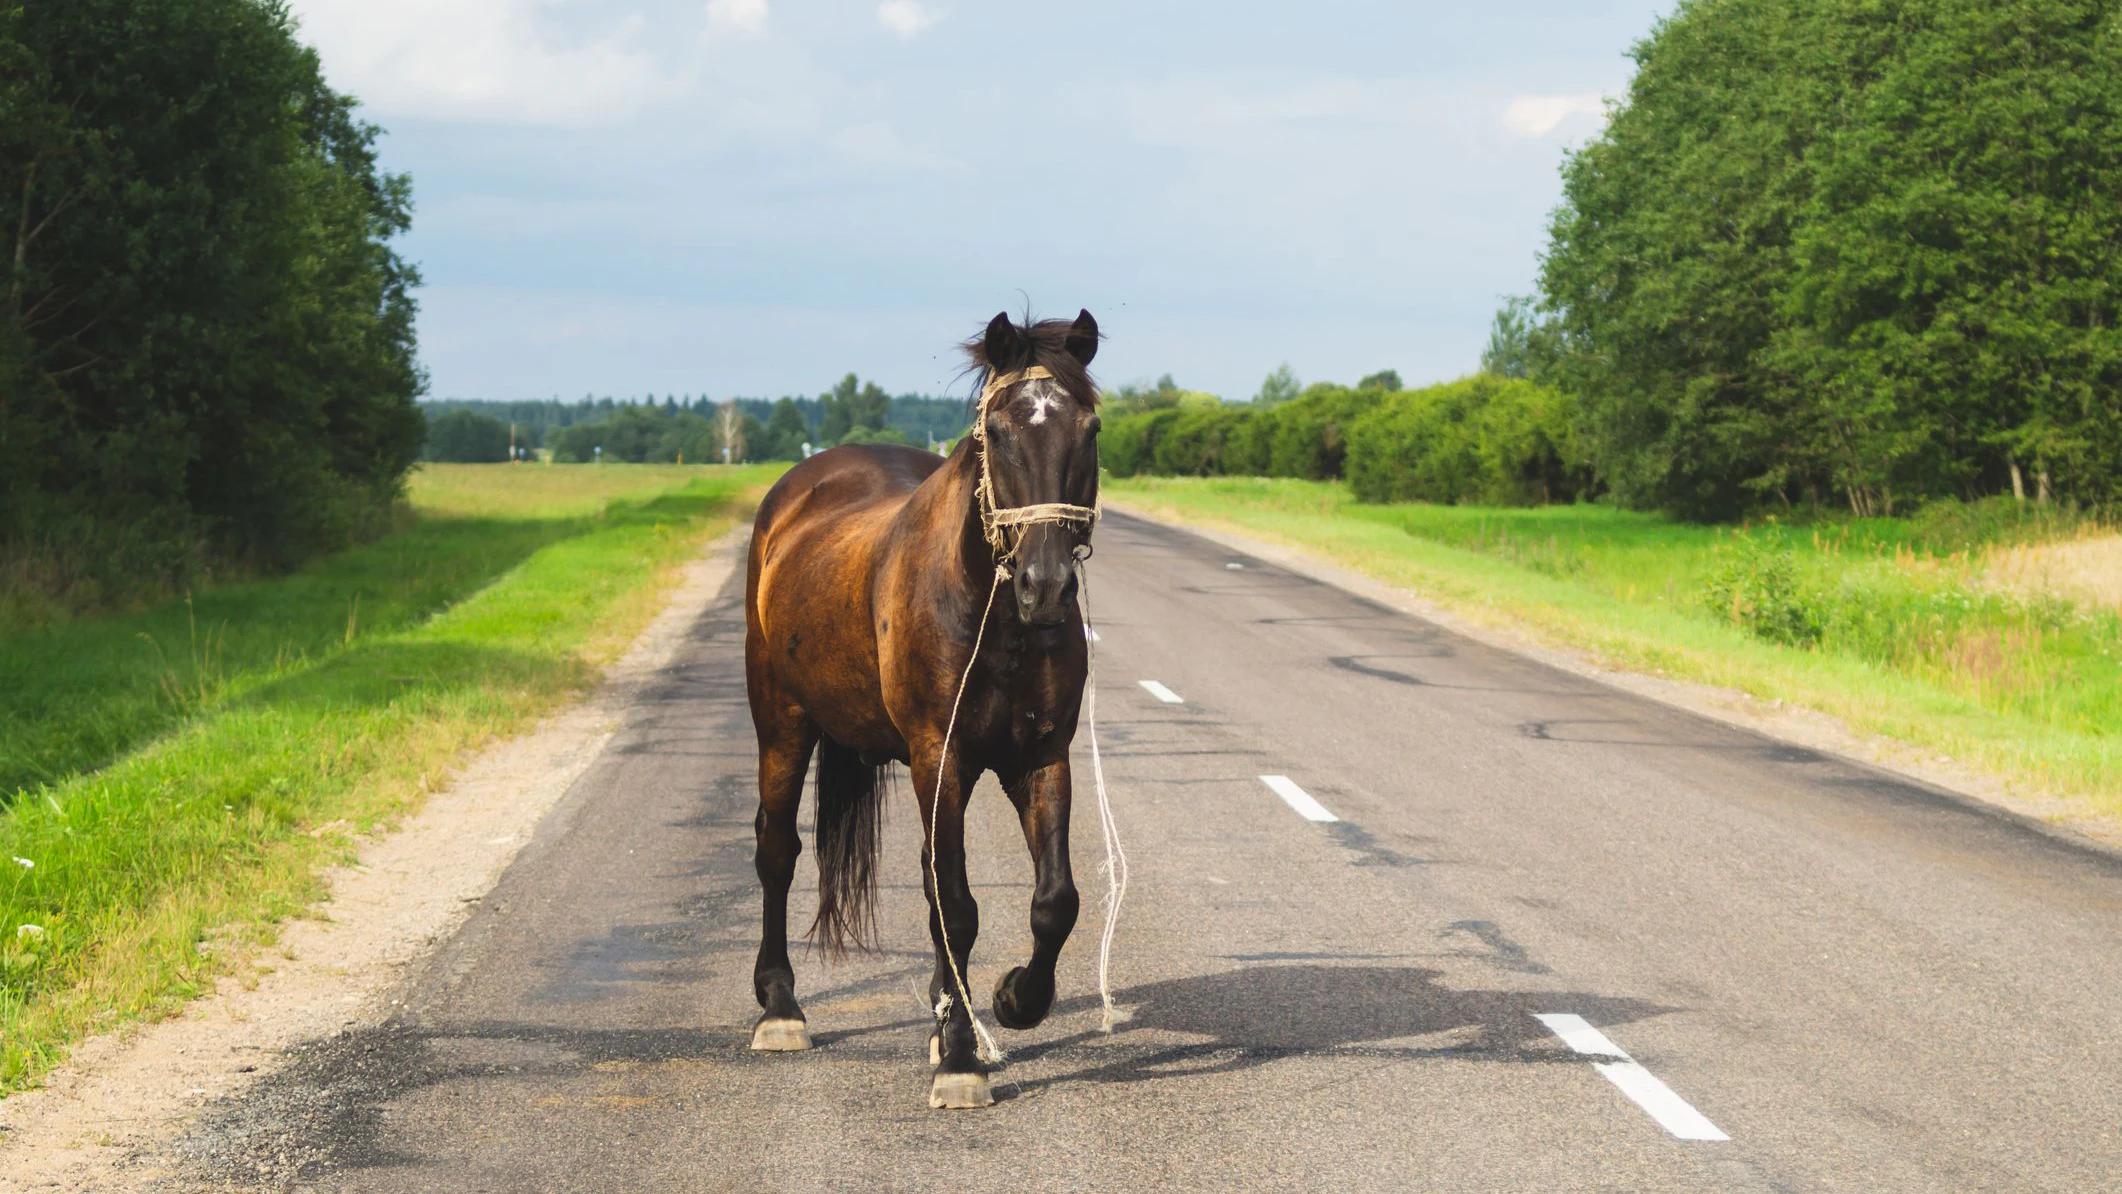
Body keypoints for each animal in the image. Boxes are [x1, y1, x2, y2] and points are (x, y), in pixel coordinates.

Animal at [742, 309, 1104, 1109]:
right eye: (996, 431)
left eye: (1090, 428)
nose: (1046, 587)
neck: (993, 615)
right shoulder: (939, 756)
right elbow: (957, 906)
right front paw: (963, 1059)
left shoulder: (1042, 756)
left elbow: (1053, 901)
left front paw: (1010, 1000)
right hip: (781, 725)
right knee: (777, 852)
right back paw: (780, 1008)